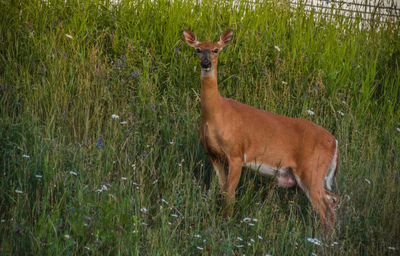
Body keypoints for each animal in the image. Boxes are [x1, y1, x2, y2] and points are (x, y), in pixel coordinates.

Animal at [183, 28, 340, 232]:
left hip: (312, 169)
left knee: (325, 208)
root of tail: (334, 142)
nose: (206, 63)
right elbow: (222, 190)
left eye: (216, 50)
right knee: (333, 200)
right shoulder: (214, 155)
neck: (216, 114)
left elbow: (230, 194)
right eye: (198, 49)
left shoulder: (236, 154)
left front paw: (226, 222)